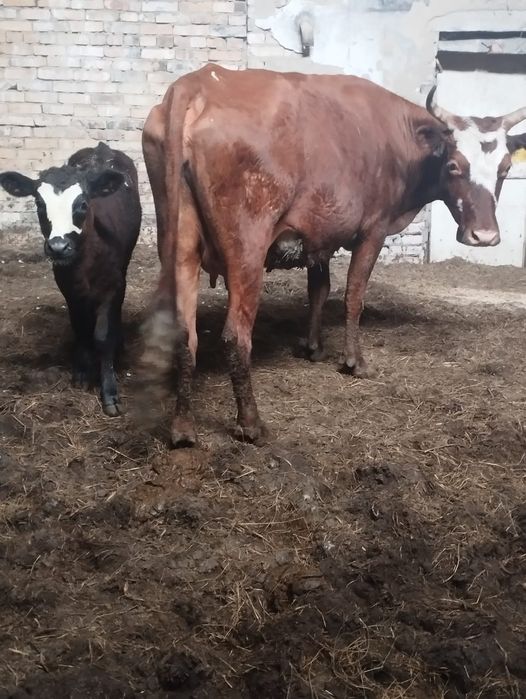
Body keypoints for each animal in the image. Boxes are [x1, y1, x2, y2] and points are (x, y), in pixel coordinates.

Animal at [0, 142, 142, 416]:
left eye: (83, 203)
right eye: (39, 204)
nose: (58, 247)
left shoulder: (112, 286)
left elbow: (103, 335)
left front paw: (109, 391)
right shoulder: (68, 287)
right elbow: (80, 327)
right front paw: (82, 372)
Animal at [140, 64, 526, 446]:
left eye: (506, 168)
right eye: (453, 166)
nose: (484, 236)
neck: (396, 136)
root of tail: (200, 82)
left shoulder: (318, 233)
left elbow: (319, 289)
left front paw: (313, 347)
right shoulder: (373, 230)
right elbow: (353, 295)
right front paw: (354, 361)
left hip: (181, 246)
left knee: (184, 334)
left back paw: (183, 427)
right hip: (247, 248)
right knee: (236, 336)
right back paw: (251, 423)